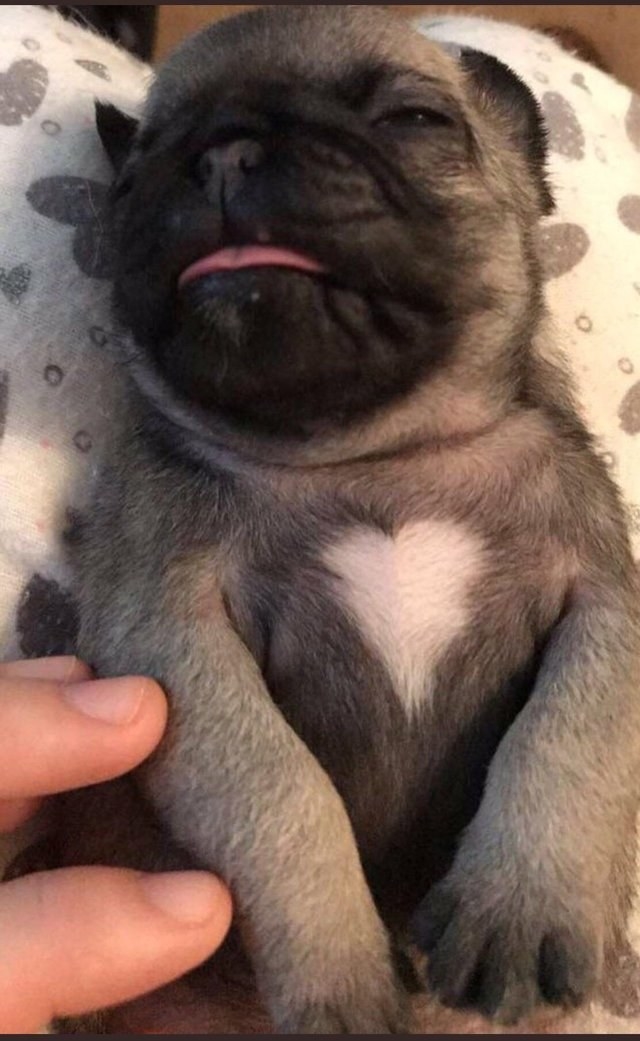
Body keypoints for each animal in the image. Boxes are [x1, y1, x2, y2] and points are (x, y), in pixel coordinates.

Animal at [9, 5, 640, 1034]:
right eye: (134, 174)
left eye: (417, 120)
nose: (223, 151)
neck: (368, 454)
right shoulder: (176, 639)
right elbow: (280, 790)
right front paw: (337, 968)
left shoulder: (606, 610)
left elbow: (568, 736)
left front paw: (520, 900)